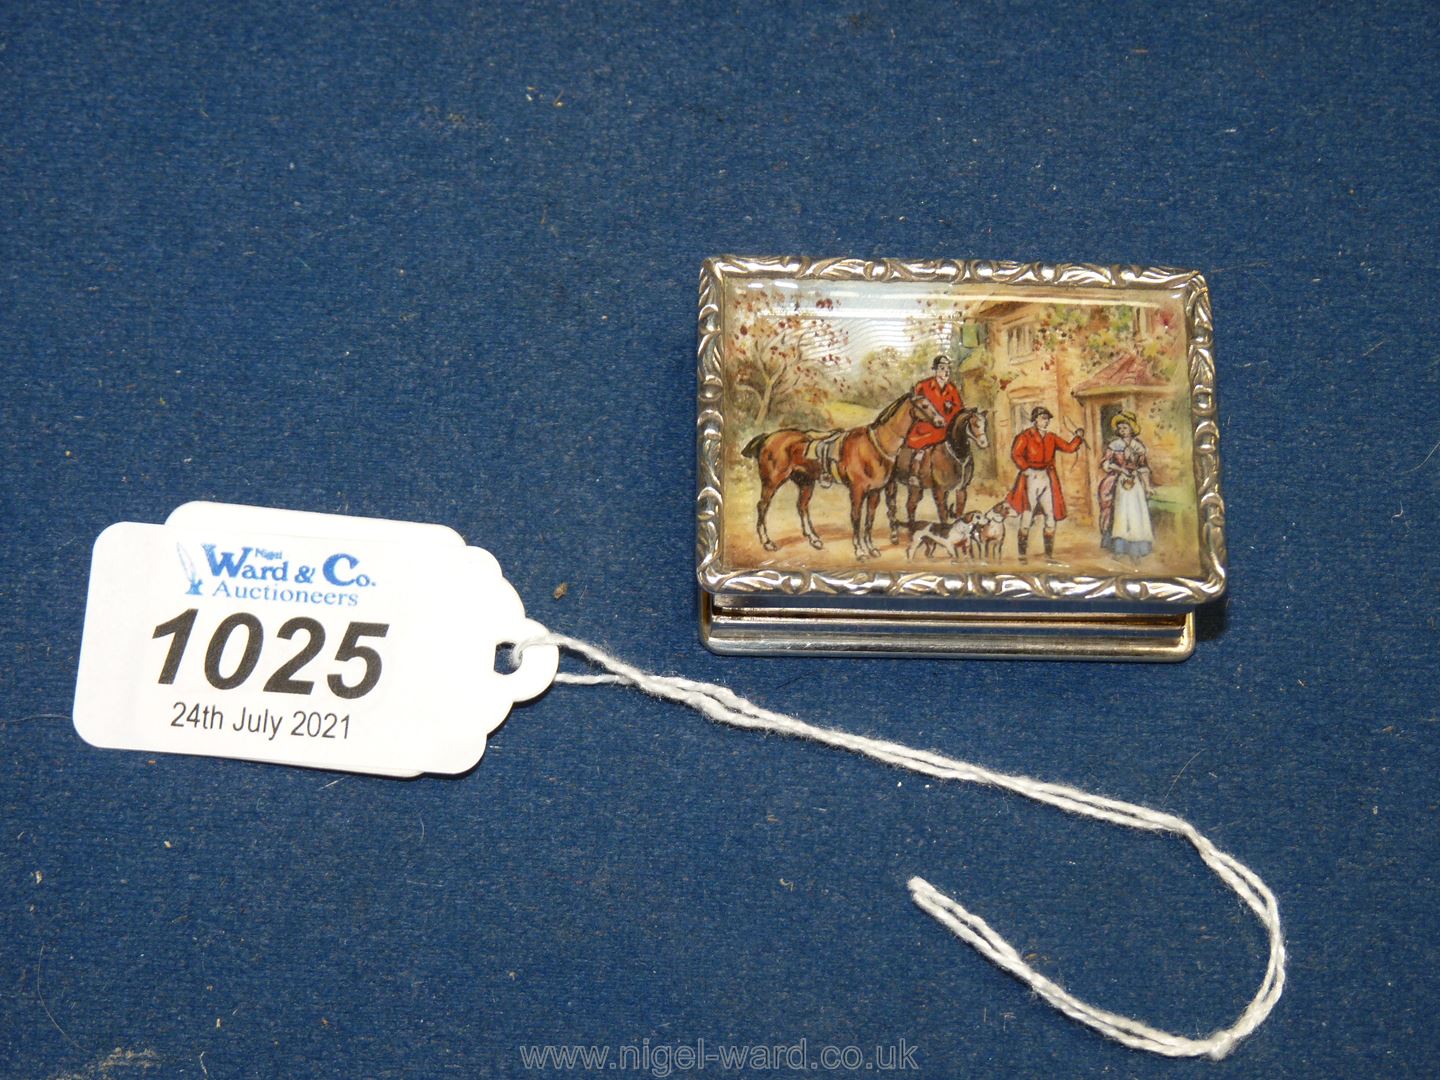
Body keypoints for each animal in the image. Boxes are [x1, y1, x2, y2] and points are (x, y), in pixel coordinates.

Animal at [737, 397, 927, 567]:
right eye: (925, 405)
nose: (935, 421)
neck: (874, 445)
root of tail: (768, 437)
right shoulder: (857, 491)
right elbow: (856, 519)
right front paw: (860, 551)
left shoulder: (874, 492)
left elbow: (869, 520)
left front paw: (871, 549)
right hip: (772, 482)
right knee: (762, 506)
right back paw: (767, 542)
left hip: (806, 483)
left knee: (802, 507)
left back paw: (813, 539)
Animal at [875, 408, 990, 544]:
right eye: (975, 424)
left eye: (985, 425)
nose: (984, 443)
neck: (956, 455)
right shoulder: (939, 491)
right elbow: (943, 514)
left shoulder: (961, 490)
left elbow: (959, 513)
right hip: (892, 484)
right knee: (892, 508)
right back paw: (894, 536)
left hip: (915, 487)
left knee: (910, 506)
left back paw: (911, 532)